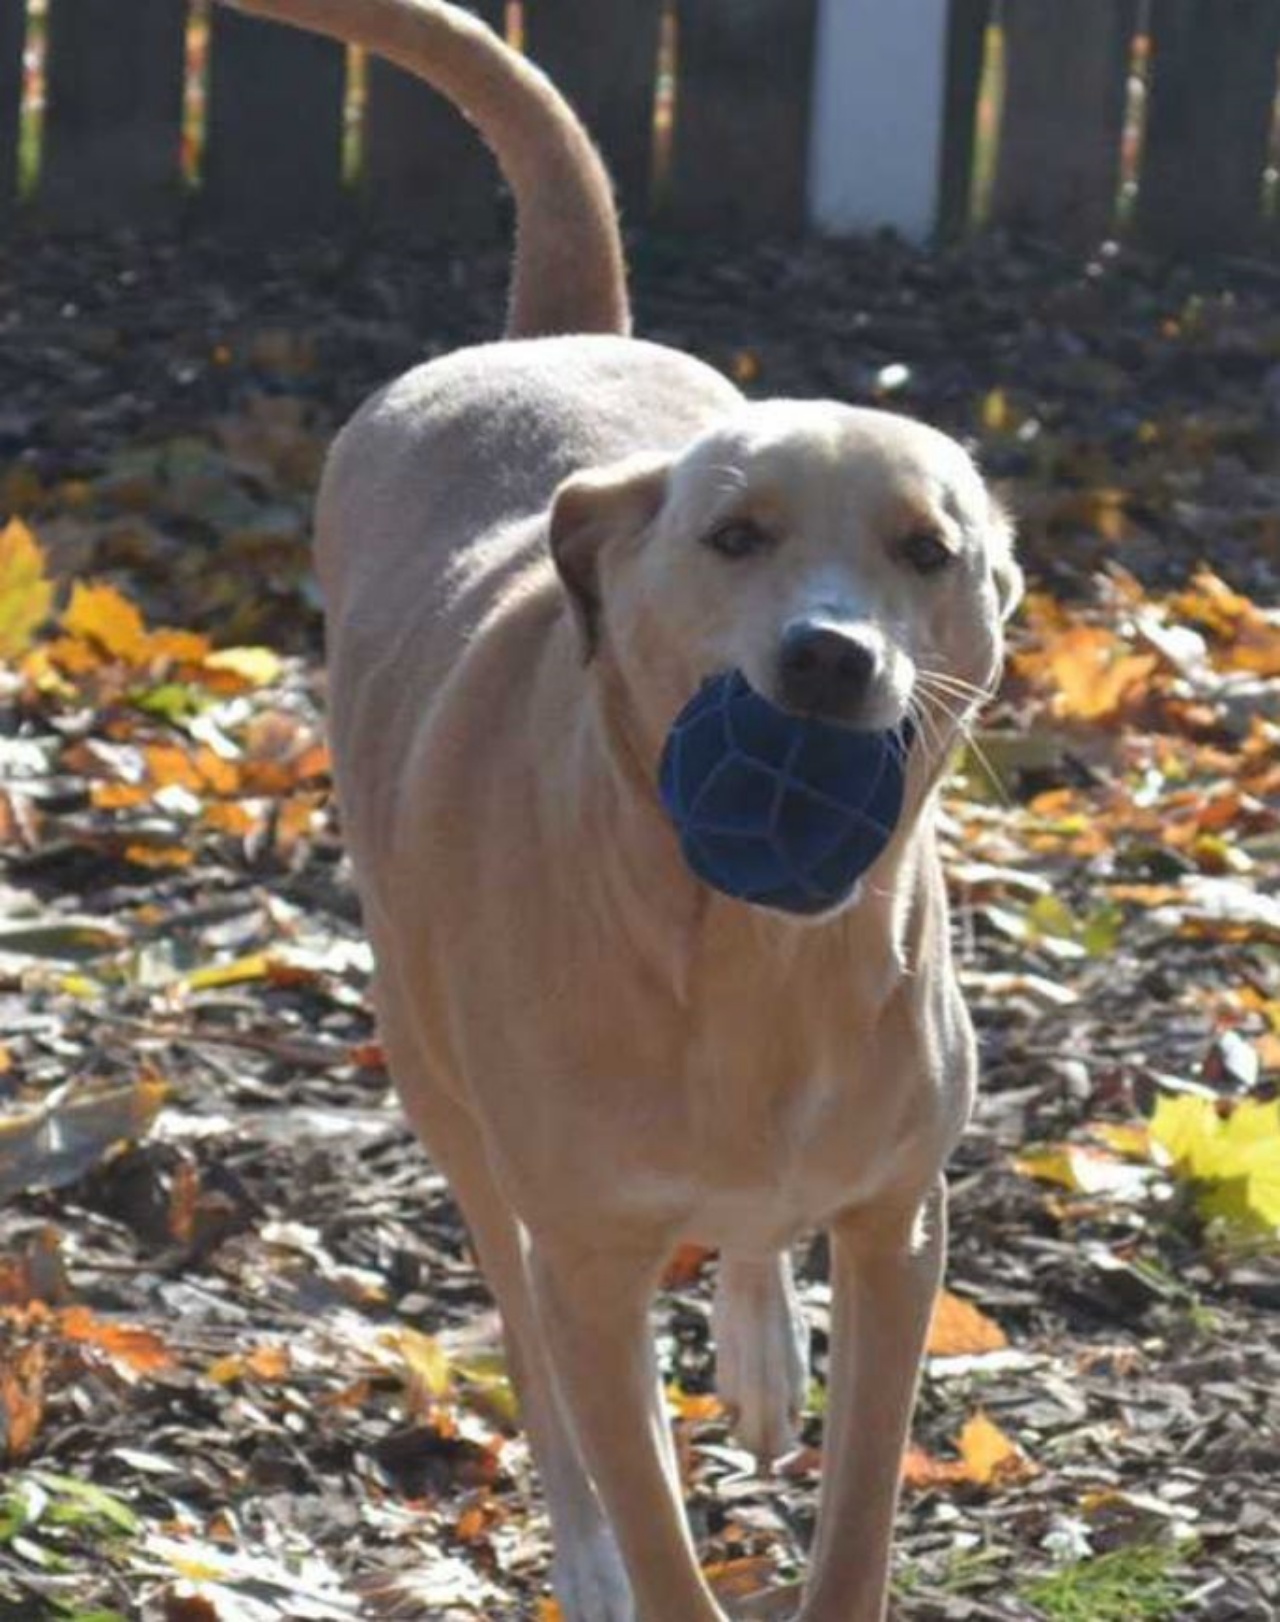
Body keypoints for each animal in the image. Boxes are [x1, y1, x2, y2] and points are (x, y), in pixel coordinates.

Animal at [217, 6, 1018, 1615]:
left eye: (927, 550)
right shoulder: (588, 1250)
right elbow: (640, 1495)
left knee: (751, 1247)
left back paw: (764, 1347)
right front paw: (633, 1556)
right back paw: (585, 1547)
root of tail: (548, 336)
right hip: (446, 1091)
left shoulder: (901, 1223)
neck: (755, 950)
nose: (828, 658)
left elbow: (862, 1504)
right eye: (734, 535)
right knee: (533, 1344)